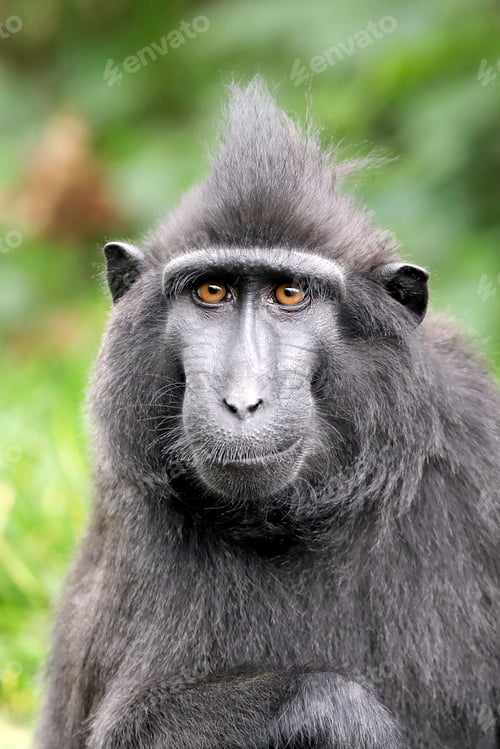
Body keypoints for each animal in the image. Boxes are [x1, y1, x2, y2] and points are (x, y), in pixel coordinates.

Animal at [35, 79, 500, 749]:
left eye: (289, 293)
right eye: (211, 291)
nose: (242, 400)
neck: (299, 519)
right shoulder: (137, 499)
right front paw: (340, 713)